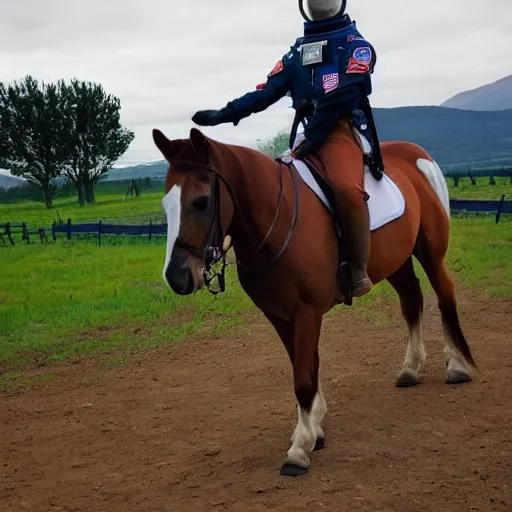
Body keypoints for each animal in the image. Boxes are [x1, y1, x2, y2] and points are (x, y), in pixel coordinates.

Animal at [152, 126, 476, 478]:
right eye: (166, 204)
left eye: (201, 201)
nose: (177, 276)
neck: (278, 220)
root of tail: (418, 154)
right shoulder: (280, 316)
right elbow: (304, 366)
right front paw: (314, 430)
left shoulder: (306, 311)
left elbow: (304, 379)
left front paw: (300, 447)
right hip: (396, 259)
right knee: (411, 299)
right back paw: (411, 368)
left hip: (430, 251)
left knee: (444, 293)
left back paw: (457, 365)